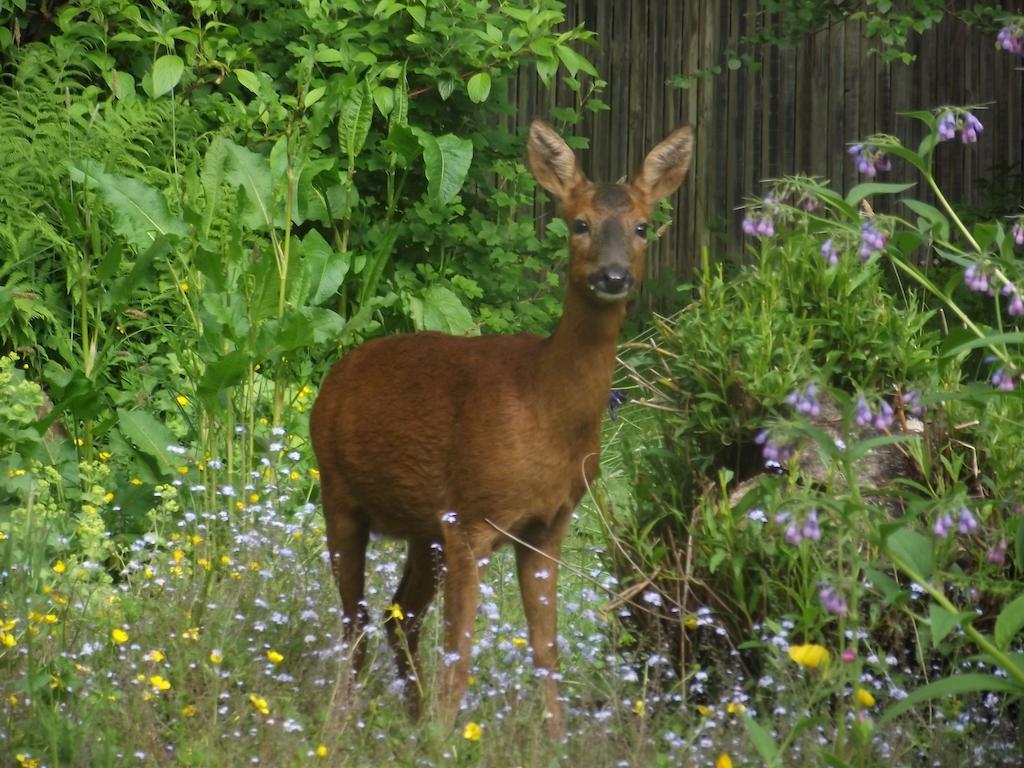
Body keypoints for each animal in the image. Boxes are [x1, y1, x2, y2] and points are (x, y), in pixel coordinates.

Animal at [309, 118, 696, 733]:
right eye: (580, 223)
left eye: (641, 226)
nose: (612, 276)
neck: (543, 408)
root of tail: (337, 375)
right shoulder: (472, 519)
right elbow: (461, 656)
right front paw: (446, 739)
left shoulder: (548, 524)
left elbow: (546, 650)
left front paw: (554, 739)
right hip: (340, 492)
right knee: (355, 623)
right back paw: (341, 729)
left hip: (423, 528)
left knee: (400, 615)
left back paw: (411, 723)